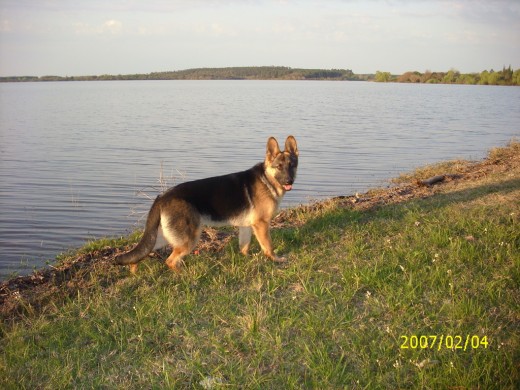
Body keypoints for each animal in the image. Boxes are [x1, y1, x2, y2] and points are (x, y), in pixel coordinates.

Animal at [116, 136, 298, 272]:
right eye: (279, 166)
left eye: (292, 165)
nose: (289, 181)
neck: (267, 179)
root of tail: (162, 196)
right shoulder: (261, 225)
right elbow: (268, 246)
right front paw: (276, 260)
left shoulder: (246, 226)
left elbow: (244, 246)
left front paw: (246, 259)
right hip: (189, 239)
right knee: (170, 261)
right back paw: (184, 275)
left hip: (162, 237)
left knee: (142, 252)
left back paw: (134, 269)